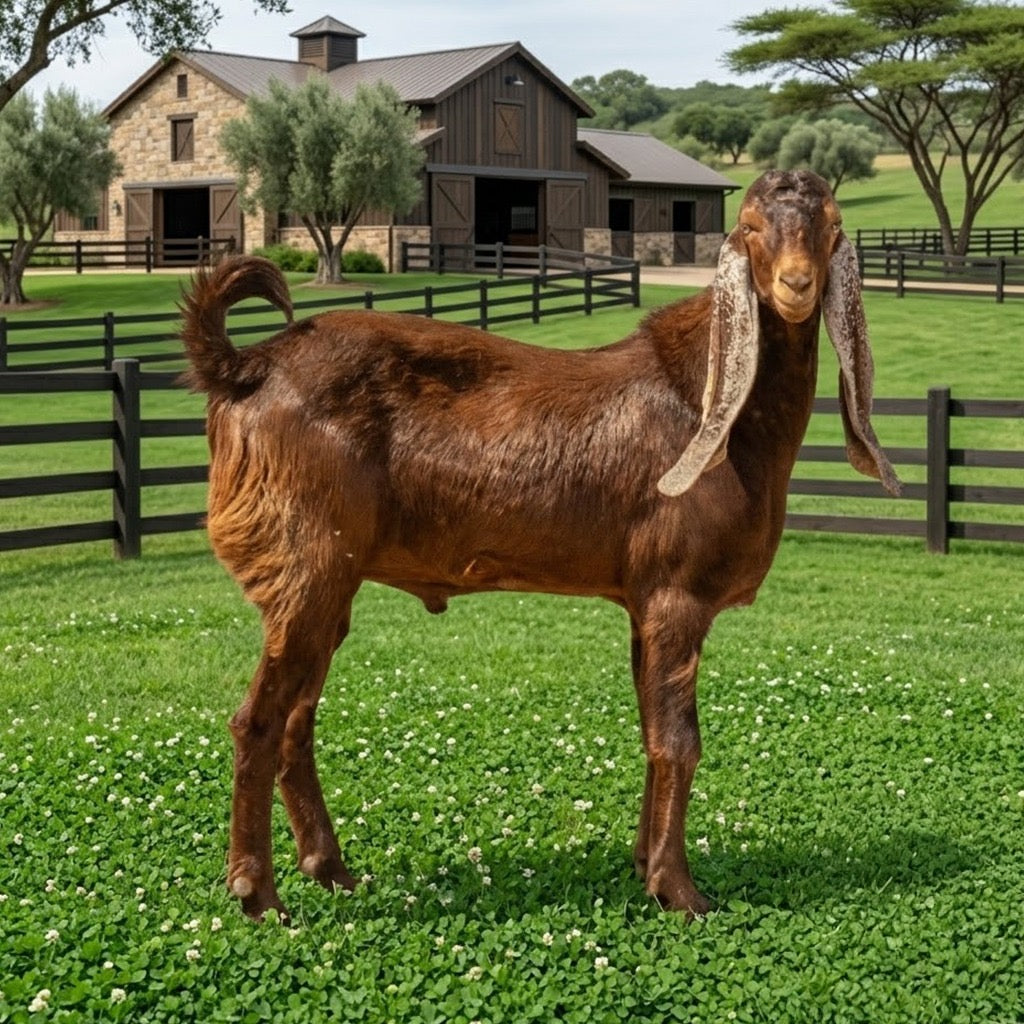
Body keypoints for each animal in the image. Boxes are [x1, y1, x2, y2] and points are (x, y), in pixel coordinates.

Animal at [180, 169, 901, 921]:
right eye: (753, 228)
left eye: (832, 227)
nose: (796, 285)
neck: (713, 413)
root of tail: (246, 366)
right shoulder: (677, 592)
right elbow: (679, 741)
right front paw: (680, 890)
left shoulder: (641, 599)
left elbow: (649, 728)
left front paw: (643, 867)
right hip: (306, 562)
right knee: (258, 721)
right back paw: (257, 893)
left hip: (329, 580)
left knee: (297, 720)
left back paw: (331, 871)